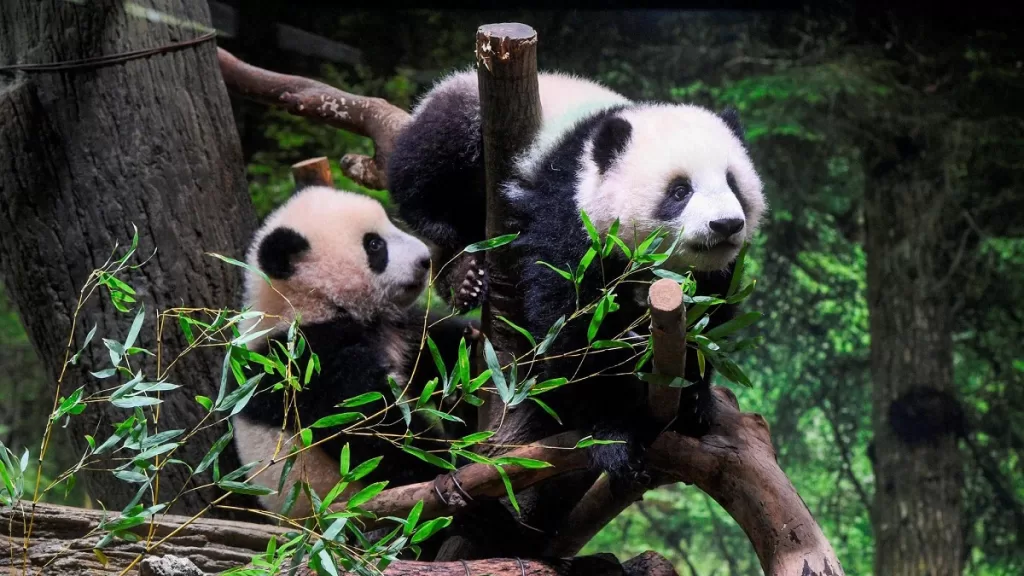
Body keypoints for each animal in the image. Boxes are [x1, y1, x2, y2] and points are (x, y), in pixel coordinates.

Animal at [230, 185, 477, 518]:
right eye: (374, 245)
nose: (425, 260)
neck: (310, 303)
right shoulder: (306, 363)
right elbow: (369, 428)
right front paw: (450, 463)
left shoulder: (396, 329)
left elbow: (434, 348)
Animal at [386, 69, 767, 493]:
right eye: (680, 190)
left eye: (733, 183)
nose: (726, 225)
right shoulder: (568, 214)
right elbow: (572, 328)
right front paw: (613, 433)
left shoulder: (712, 273)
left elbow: (710, 318)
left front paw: (694, 401)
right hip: (464, 112)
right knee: (427, 165)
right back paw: (463, 269)